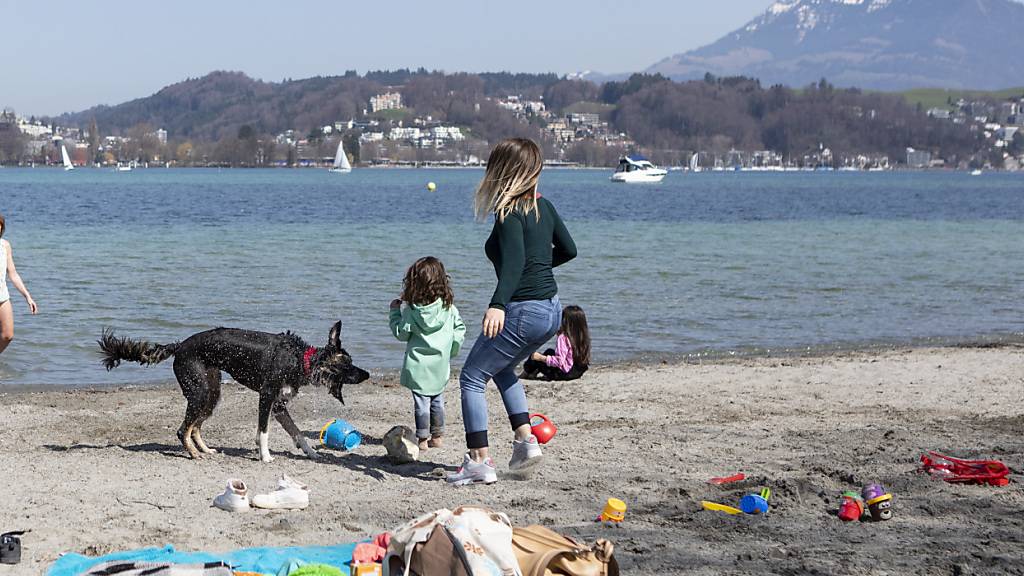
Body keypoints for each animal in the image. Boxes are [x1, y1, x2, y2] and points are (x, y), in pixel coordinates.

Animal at [97, 319, 370, 459]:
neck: (299, 359)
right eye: (348, 365)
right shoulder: (267, 397)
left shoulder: (279, 406)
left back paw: (204, 449)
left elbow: (297, 433)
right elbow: (264, 432)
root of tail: (180, 345)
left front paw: (311, 453)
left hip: (211, 393)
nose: (366, 374)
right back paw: (194, 454)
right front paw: (265, 456)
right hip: (200, 393)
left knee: (194, 427)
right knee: (182, 430)